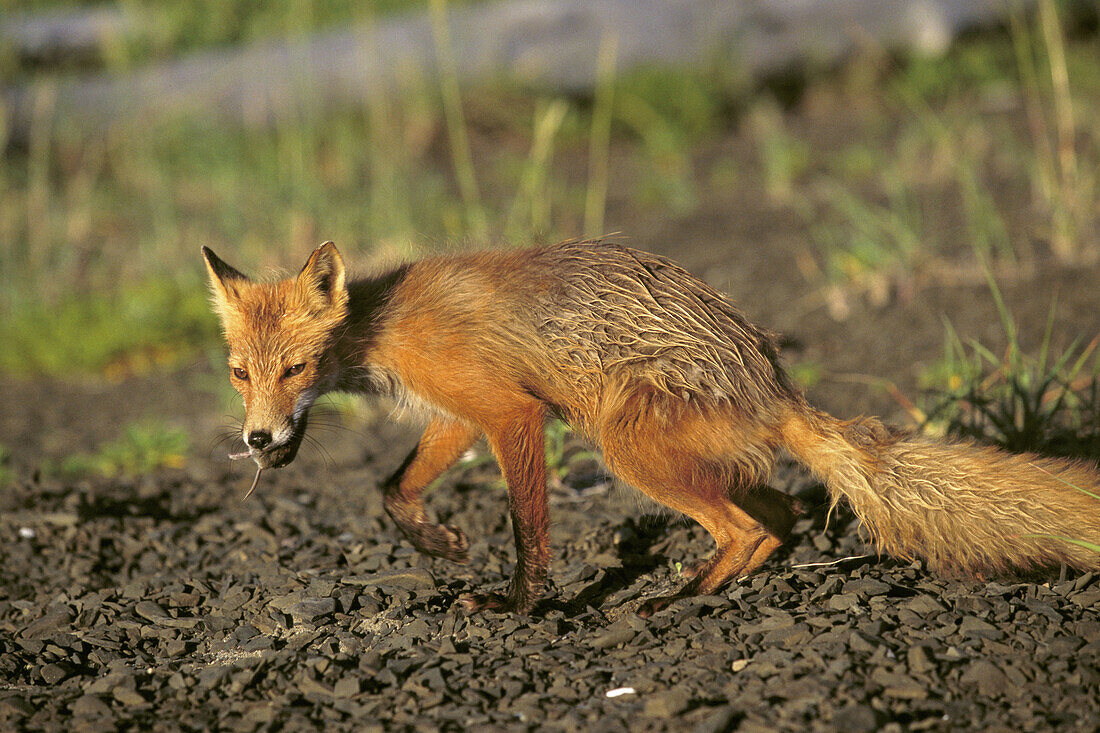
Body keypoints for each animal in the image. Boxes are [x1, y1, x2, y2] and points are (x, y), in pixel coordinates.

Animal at [204, 239, 1100, 611]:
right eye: (240, 373)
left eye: (296, 370)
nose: (256, 440)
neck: (384, 326)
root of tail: (771, 380)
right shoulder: (462, 412)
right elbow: (394, 487)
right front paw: (438, 542)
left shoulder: (509, 410)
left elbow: (527, 529)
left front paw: (520, 605)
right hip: (693, 458)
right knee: (782, 514)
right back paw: (722, 582)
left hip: (625, 446)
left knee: (747, 525)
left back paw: (679, 597)